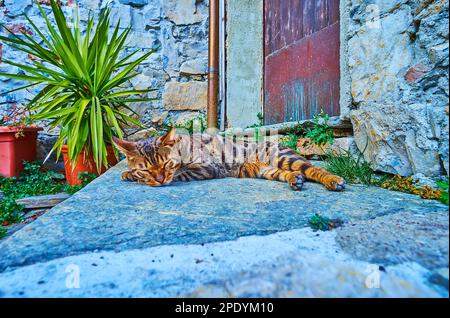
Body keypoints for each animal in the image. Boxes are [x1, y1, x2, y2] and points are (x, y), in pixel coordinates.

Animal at [114, 127, 346, 191]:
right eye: (146, 169)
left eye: (166, 164)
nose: (160, 179)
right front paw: (129, 173)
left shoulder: (206, 167)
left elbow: (180, 173)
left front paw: (132, 176)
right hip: (264, 170)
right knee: (293, 174)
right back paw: (295, 179)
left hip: (283, 157)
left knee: (314, 169)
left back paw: (334, 181)